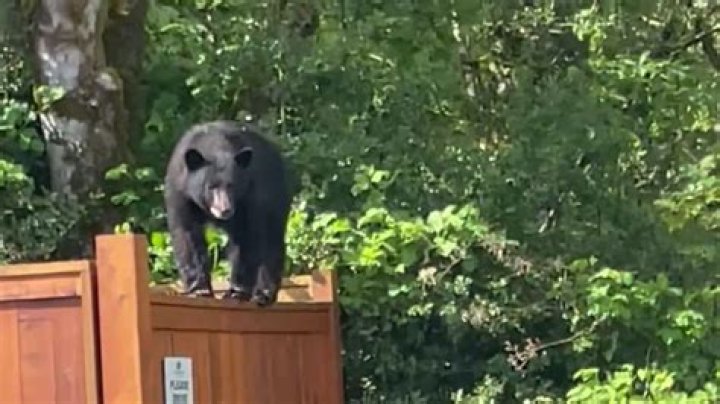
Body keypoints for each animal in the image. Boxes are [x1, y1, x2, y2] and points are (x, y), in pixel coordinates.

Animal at [163, 120, 292, 307]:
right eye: (211, 187)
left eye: (231, 185)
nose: (225, 209)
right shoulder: (180, 191)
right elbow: (186, 235)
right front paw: (199, 290)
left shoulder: (250, 195)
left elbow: (248, 238)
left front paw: (236, 292)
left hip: (277, 195)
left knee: (272, 239)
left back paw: (264, 294)